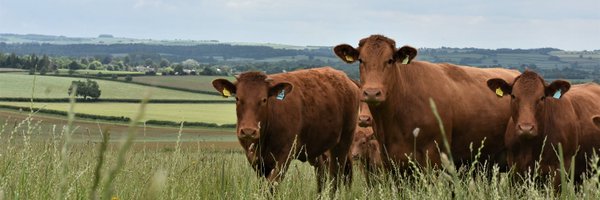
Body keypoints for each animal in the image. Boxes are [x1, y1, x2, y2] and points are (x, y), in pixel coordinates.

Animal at [212, 67, 358, 192]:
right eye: (237, 98)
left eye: (264, 99)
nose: (248, 131)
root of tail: (346, 78)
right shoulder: (255, 159)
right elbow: (262, 186)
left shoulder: (284, 155)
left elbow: (271, 186)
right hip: (318, 148)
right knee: (322, 175)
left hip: (343, 143)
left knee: (336, 177)